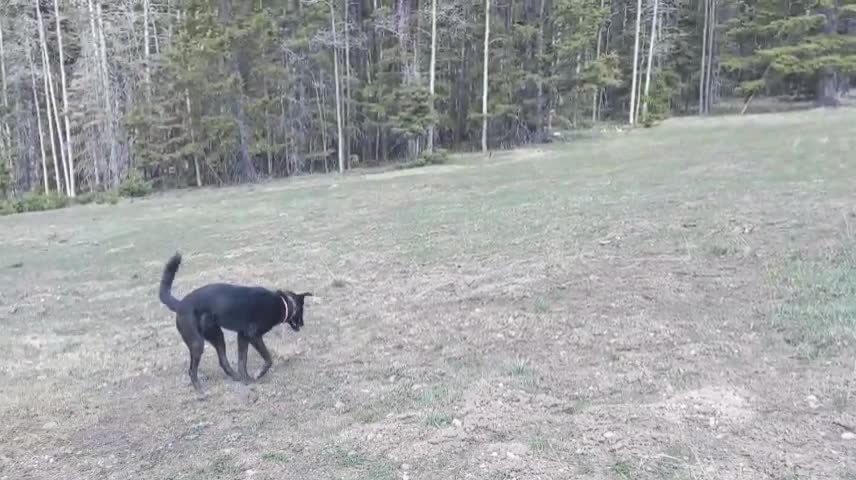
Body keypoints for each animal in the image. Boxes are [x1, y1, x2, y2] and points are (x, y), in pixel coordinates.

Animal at [158, 253, 310, 392]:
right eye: (301, 311)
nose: (303, 324)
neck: (282, 303)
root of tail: (180, 304)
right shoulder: (253, 336)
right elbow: (268, 359)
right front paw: (258, 374)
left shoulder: (242, 336)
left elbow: (242, 361)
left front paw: (247, 379)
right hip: (197, 343)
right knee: (192, 370)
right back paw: (200, 390)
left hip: (217, 336)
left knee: (222, 360)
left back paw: (236, 377)